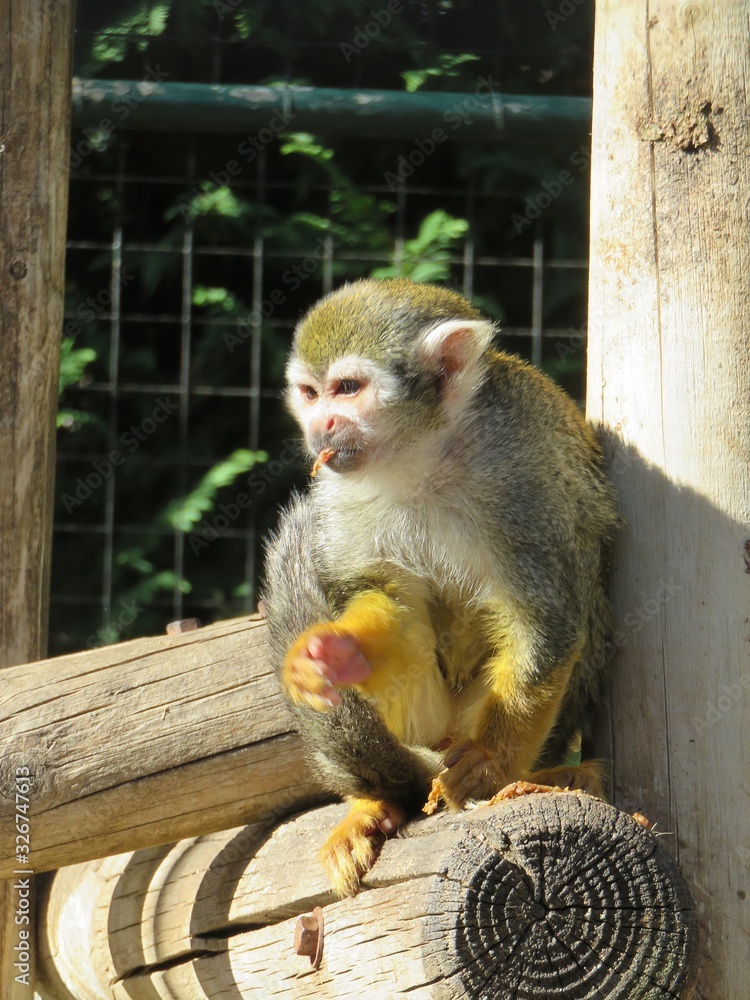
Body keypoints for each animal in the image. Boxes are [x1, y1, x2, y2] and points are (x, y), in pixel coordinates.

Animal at [262, 278, 618, 898]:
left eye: (348, 389)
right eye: (310, 393)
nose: (320, 426)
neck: (423, 454)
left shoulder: (519, 474)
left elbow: (544, 621)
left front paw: (491, 762)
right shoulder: (341, 490)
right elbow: (393, 602)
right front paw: (340, 651)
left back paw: (535, 775)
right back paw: (378, 801)